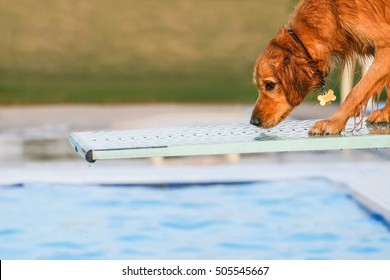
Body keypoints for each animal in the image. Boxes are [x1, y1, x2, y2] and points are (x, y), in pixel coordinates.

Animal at [250, 0, 390, 135]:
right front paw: (385, 113)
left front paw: (333, 123)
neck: (334, 13)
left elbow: (355, 92)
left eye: (270, 85)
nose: (253, 122)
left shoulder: (386, 48)